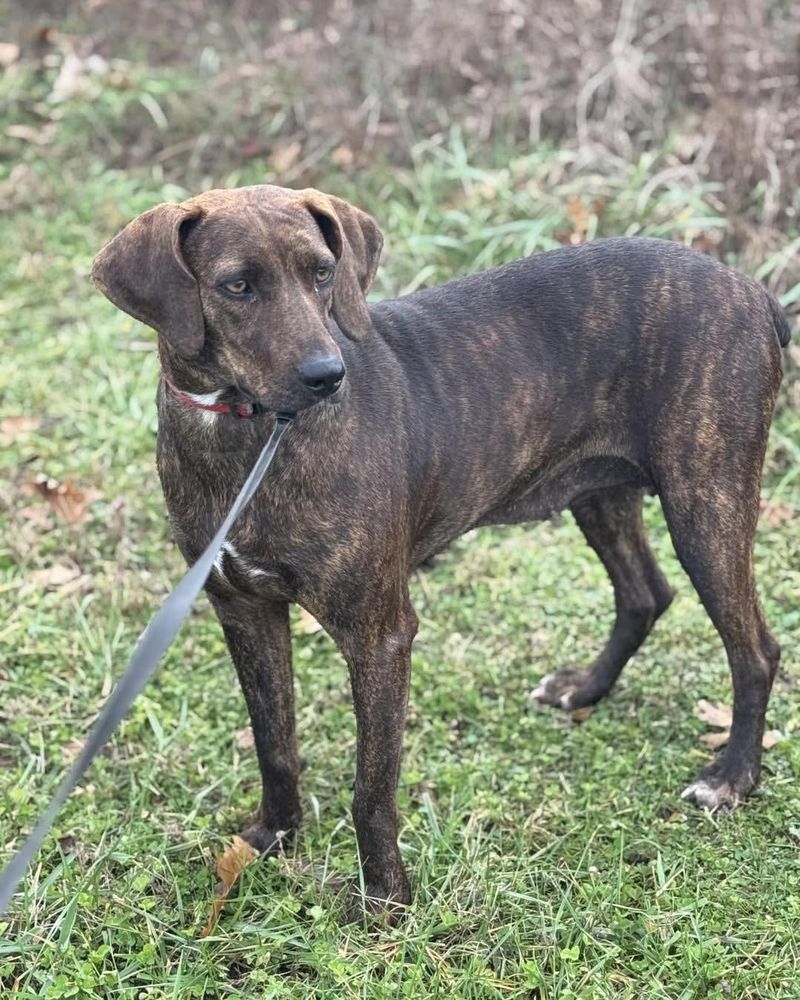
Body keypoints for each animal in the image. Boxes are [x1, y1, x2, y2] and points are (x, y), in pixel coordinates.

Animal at [90, 186, 792, 916]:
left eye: (322, 273)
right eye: (237, 286)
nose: (328, 375)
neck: (248, 432)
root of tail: (755, 293)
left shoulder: (378, 635)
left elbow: (372, 788)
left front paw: (385, 900)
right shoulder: (244, 611)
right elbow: (275, 745)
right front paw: (271, 839)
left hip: (705, 503)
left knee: (755, 650)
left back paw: (732, 777)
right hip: (599, 491)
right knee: (645, 594)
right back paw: (585, 689)